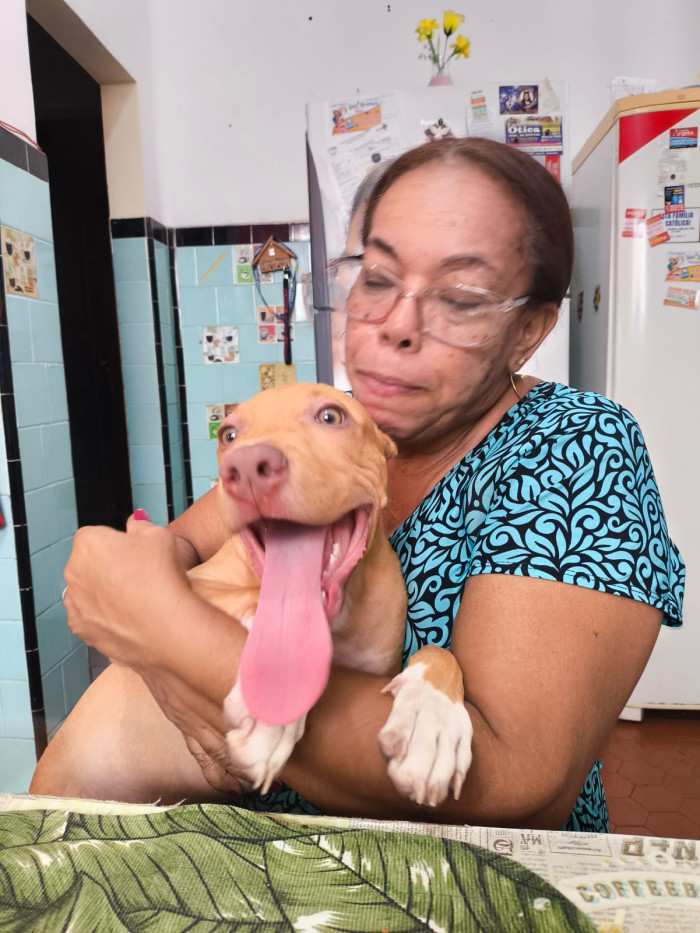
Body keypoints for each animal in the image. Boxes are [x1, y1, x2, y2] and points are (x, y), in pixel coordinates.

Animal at [187, 382, 472, 807]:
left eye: (330, 416)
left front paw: (431, 719)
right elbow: (270, 614)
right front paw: (275, 704)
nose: (247, 467)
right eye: (228, 435)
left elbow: (439, 652)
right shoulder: (191, 581)